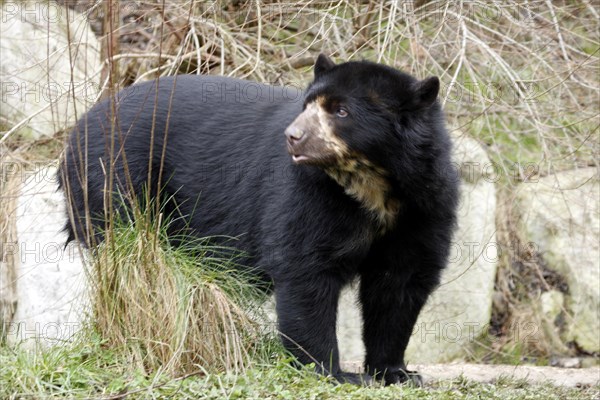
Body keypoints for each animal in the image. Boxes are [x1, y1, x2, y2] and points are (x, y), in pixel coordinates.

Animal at [58, 54, 458, 386]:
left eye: (341, 111)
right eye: (308, 105)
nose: (294, 137)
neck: (371, 184)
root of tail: (79, 126)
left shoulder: (424, 204)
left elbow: (399, 284)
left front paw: (397, 372)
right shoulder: (307, 194)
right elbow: (305, 268)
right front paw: (331, 371)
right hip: (114, 178)